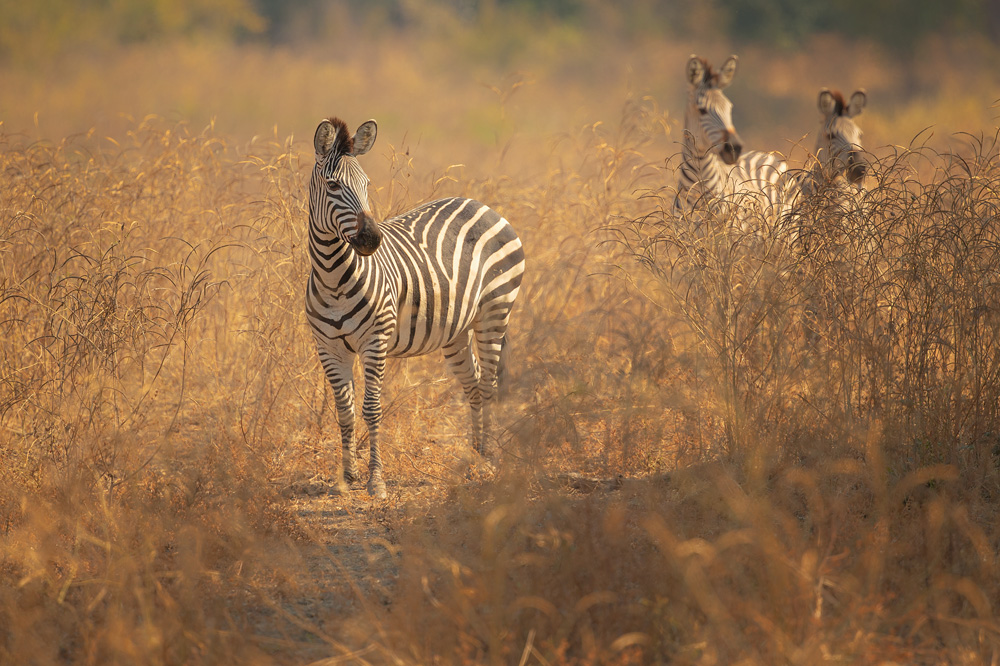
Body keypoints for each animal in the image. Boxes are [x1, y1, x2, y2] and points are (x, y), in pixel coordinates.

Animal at [304, 116, 524, 496]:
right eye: (332, 185)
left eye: (367, 184)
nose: (371, 238)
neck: (333, 278)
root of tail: (480, 204)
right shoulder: (329, 347)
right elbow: (345, 410)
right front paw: (347, 477)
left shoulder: (375, 342)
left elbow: (371, 408)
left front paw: (376, 481)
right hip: (456, 330)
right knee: (473, 383)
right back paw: (475, 455)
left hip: (494, 311)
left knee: (489, 384)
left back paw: (489, 458)